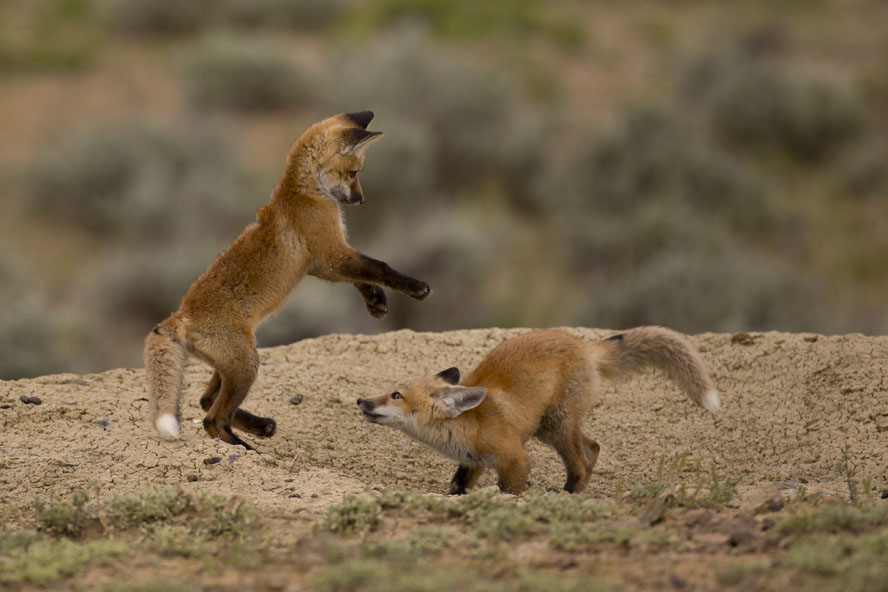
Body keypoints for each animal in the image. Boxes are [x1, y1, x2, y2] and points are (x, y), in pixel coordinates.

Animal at [145, 111, 431, 450]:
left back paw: (260, 426)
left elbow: (362, 278)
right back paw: (246, 449)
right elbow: (380, 267)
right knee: (212, 418)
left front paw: (376, 302)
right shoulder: (331, 253)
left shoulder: (322, 262)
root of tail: (180, 314)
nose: (361, 200)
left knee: (205, 401)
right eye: (353, 173)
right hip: (246, 367)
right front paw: (415, 287)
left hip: (232, 367)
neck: (302, 192)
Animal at [357, 327, 720, 495]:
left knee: (582, 461)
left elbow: (510, 488)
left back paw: (568, 495)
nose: (361, 401)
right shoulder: (473, 463)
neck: (469, 425)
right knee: (594, 447)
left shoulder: (516, 459)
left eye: (396, 395)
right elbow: (457, 486)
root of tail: (584, 344)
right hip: (549, 426)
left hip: (557, 426)